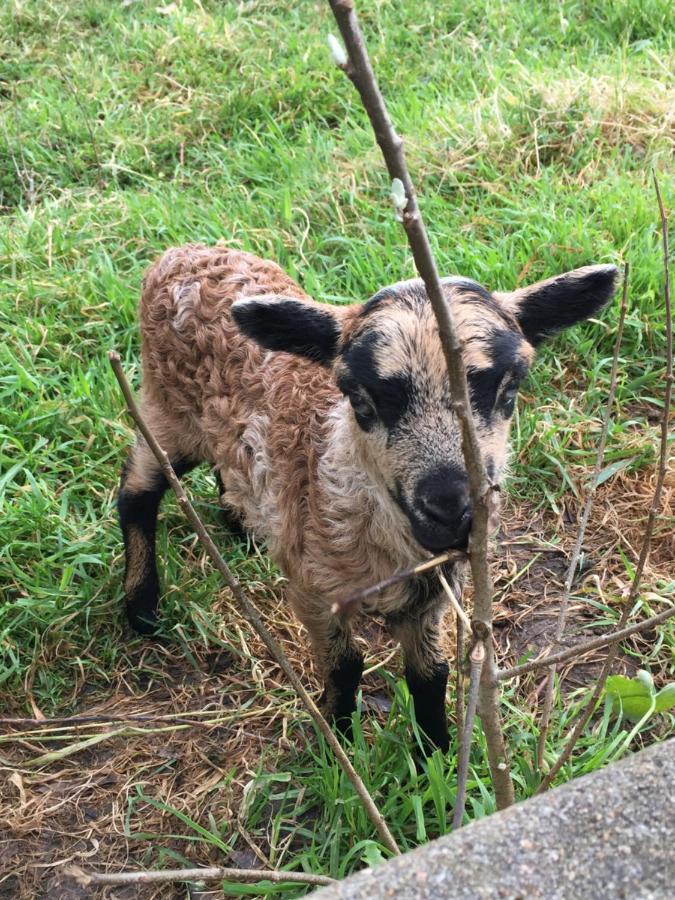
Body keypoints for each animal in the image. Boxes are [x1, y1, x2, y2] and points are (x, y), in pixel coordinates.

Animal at [117, 243, 616, 748]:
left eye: (509, 387)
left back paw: (242, 526)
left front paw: (434, 752)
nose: (451, 509)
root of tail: (183, 253)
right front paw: (338, 739)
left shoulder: (431, 598)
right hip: (168, 408)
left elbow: (431, 675)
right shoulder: (314, 590)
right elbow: (344, 666)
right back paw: (141, 607)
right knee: (136, 489)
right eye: (360, 399)